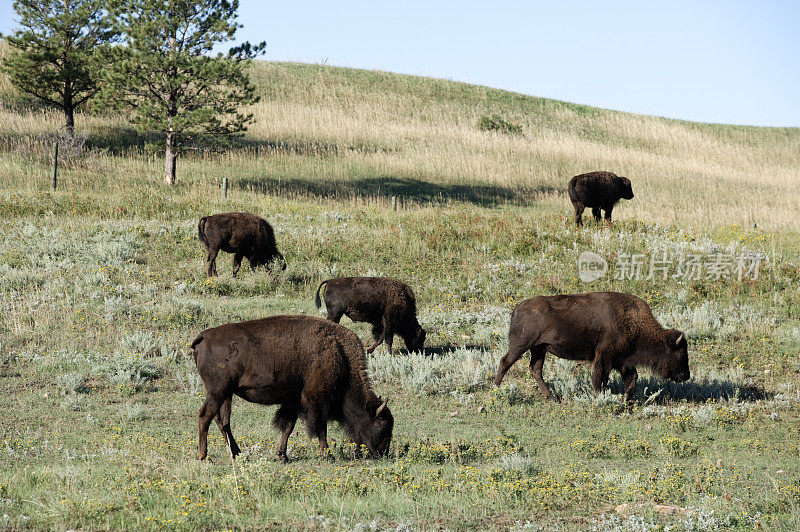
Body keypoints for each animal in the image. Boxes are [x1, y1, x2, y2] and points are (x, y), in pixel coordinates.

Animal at [192, 316, 396, 462]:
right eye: (381, 425)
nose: (382, 453)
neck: (339, 354)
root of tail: (205, 335)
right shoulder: (317, 400)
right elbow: (320, 428)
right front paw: (328, 455)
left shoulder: (293, 401)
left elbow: (288, 426)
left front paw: (283, 455)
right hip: (218, 391)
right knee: (205, 416)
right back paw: (204, 456)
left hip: (226, 394)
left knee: (222, 421)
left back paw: (237, 454)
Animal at [494, 294, 688, 402]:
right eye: (680, 353)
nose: (686, 375)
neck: (632, 321)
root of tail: (518, 308)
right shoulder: (604, 356)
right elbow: (600, 378)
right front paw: (601, 395)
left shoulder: (623, 360)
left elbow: (631, 378)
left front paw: (626, 399)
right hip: (521, 345)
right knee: (505, 362)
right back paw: (495, 389)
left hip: (539, 349)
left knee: (535, 369)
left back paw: (552, 398)